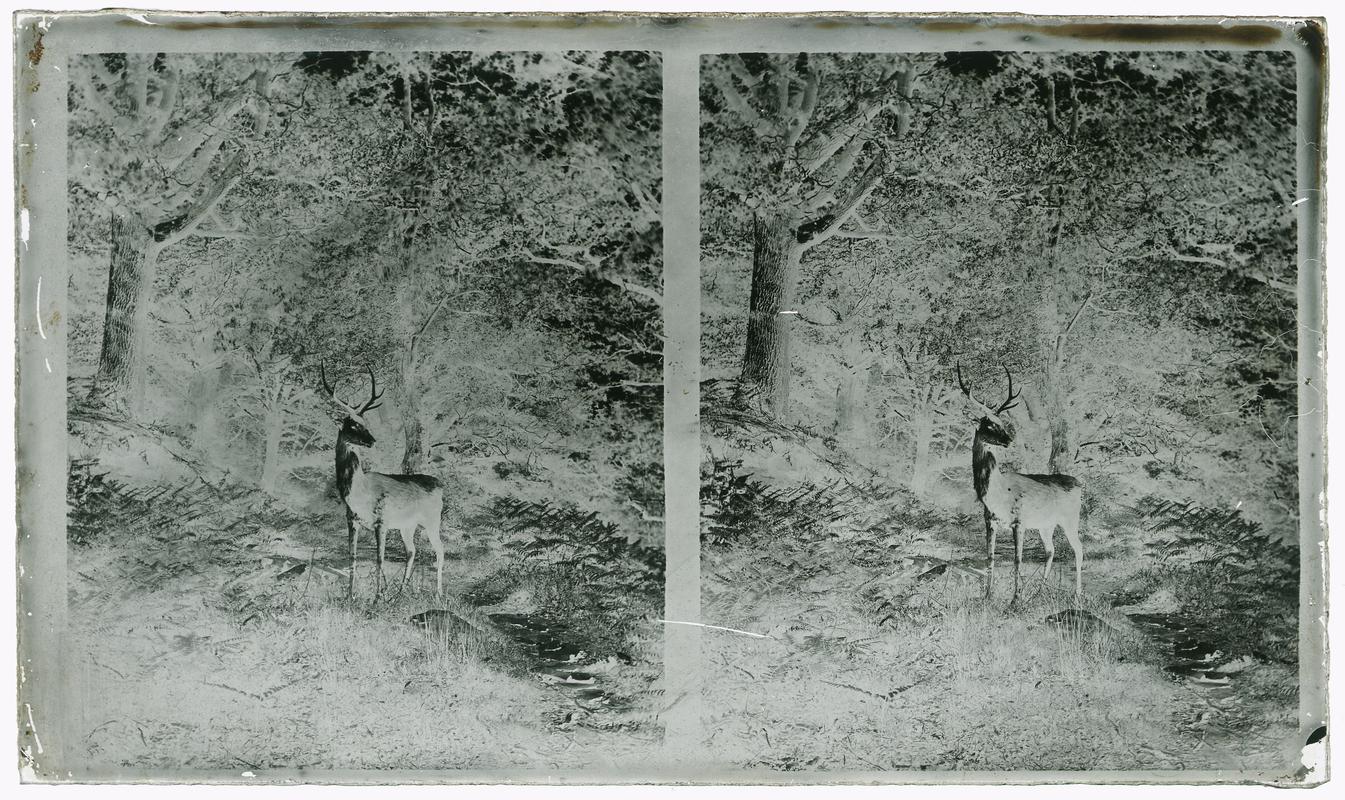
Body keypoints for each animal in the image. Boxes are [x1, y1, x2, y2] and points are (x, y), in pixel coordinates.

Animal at [320, 364, 446, 600]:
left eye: (365, 423)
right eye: (352, 424)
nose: (372, 440)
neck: (360, 493)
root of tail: (440, 485)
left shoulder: (382, 521)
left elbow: (380, 559)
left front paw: (377, 597)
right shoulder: (352, 521)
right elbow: (352, 557)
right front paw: (350, 596)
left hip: (432, 519)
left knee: (440, 550)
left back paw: (438, 594)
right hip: (407, 525)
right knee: (412, 550)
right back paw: (401, 591)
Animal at [956, 364, 1083, 606]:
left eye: (1003, 423)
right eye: (988, 424)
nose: (1008, 440)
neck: (996, 494)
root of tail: (1079, 484)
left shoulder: (1019, 521)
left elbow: (1017, 559)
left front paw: (1015, 600)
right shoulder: (990, 521)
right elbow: (990, 557)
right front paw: (987, 596)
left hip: (1070, 518)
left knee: (1079, 548)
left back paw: (1077, 595)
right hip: (1046, 524)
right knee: (1051, 550)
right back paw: (1040, 592)